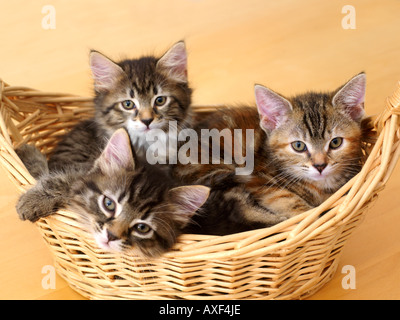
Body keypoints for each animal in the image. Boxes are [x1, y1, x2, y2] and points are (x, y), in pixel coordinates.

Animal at [178, 72, 368, 235]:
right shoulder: (261, 183)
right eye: (298, 145)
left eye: (336, 142)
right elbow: (288, 200)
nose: (320, 165)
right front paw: (310, 217)